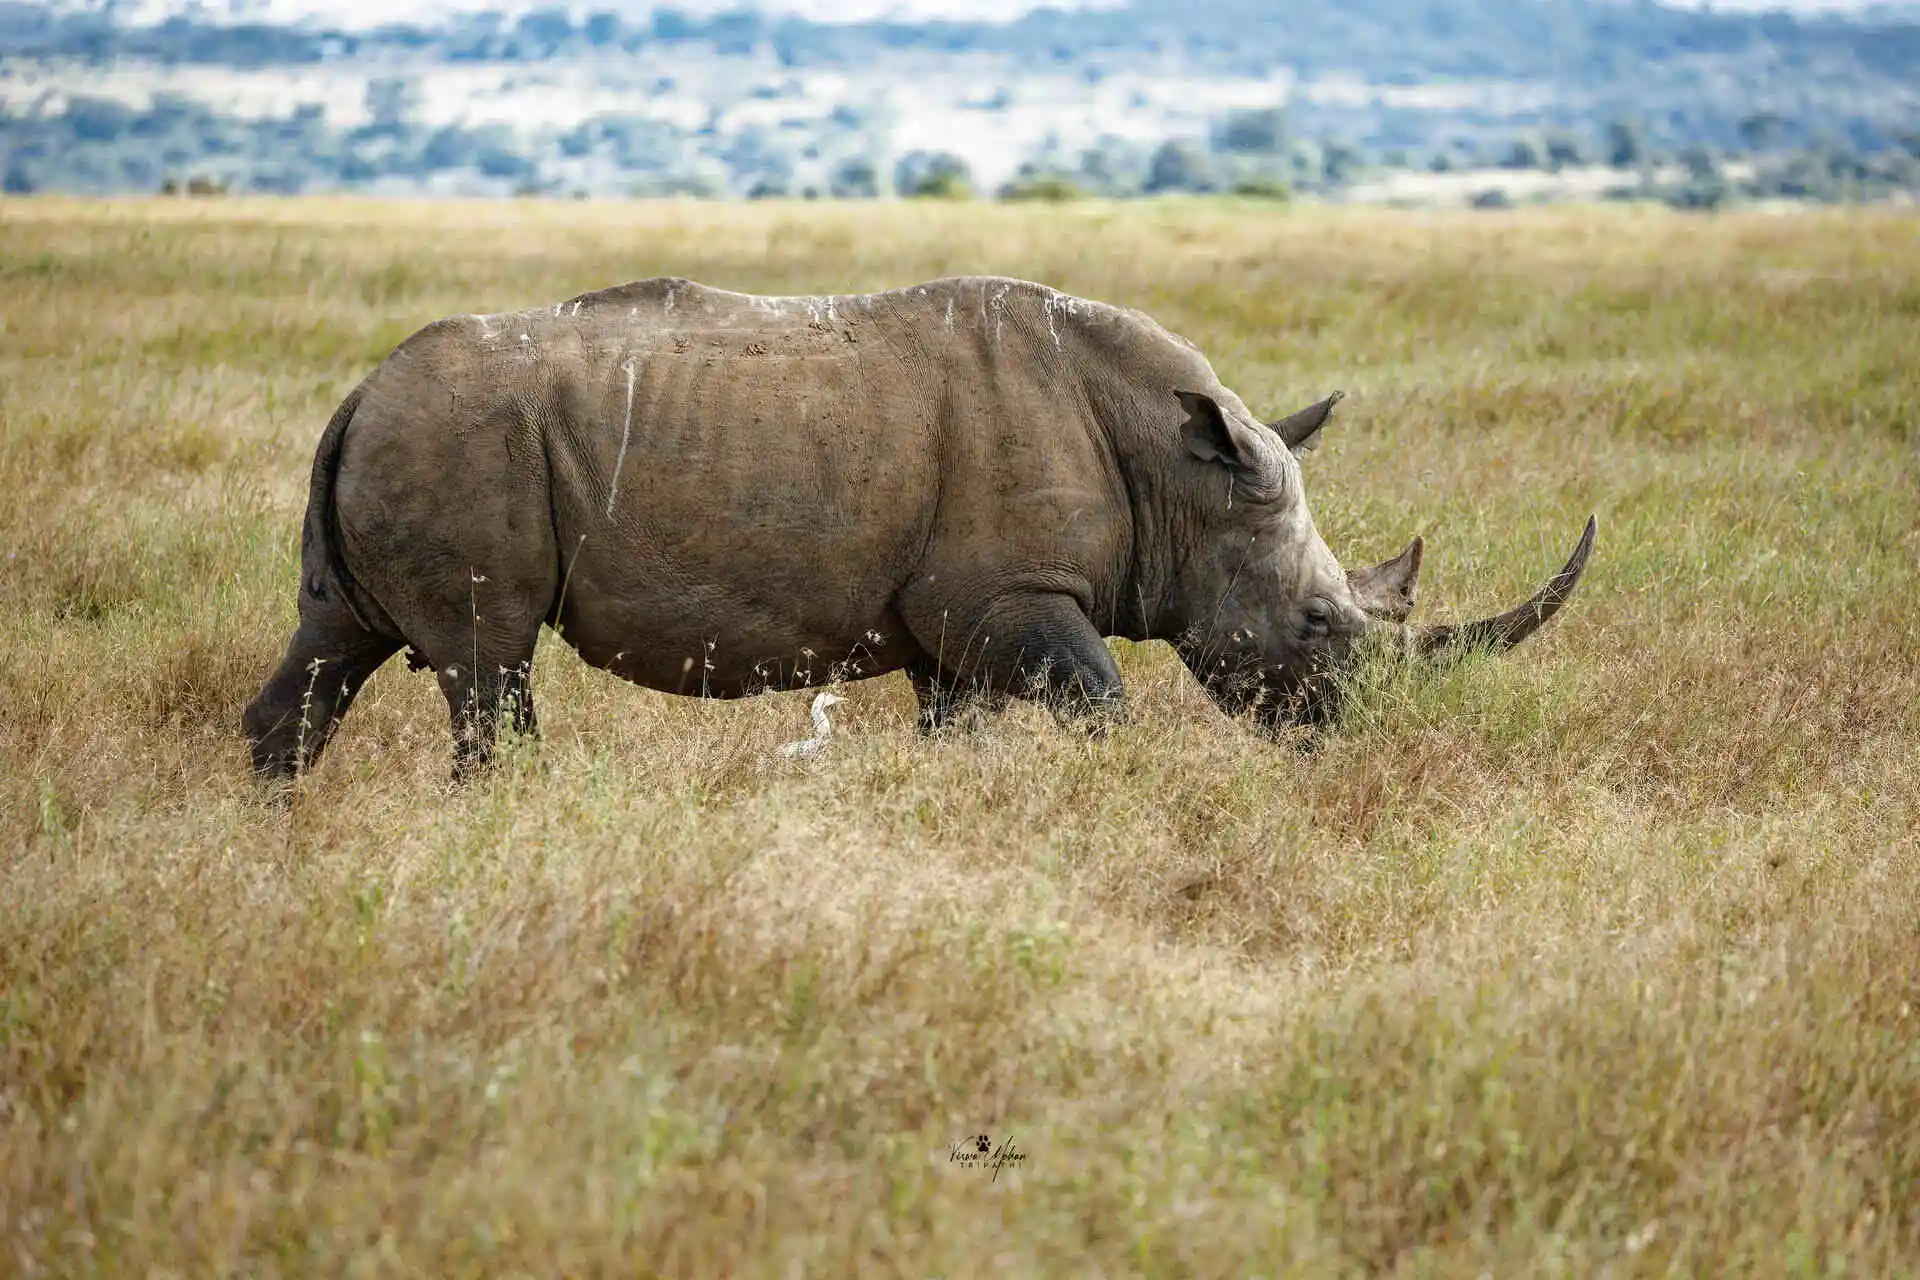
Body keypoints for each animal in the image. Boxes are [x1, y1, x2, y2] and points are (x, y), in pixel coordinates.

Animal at [241, 275, 1594, 781]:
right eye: (1317, 623)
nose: (1349, 738)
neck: (1179, 475)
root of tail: (354, 396)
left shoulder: (962, 623)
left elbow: (965, 730)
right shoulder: (1010, 596)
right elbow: (1102, 697)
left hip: (412, 441)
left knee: (331, 648)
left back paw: (275, 828)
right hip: (461, 444)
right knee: (489, 665)